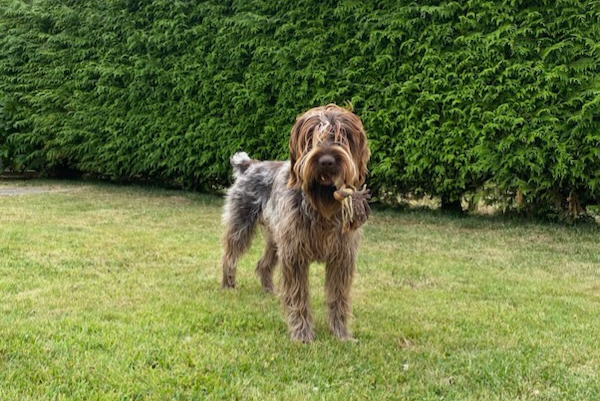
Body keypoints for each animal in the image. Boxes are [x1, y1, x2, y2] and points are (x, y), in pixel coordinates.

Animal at [221, 103, 370, 340]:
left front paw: (341, 334)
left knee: (263, 265)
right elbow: (298, 296)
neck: (321, 207)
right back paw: (228, 285)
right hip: (241, 225)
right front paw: (302, 334)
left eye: (342, 135)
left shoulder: (342, 257)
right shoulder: (295, 254)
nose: (326, 161)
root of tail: (250, 165)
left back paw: (270, 290)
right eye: (311, 136)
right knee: (229, 255)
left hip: (276, 238)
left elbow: (338, 298)